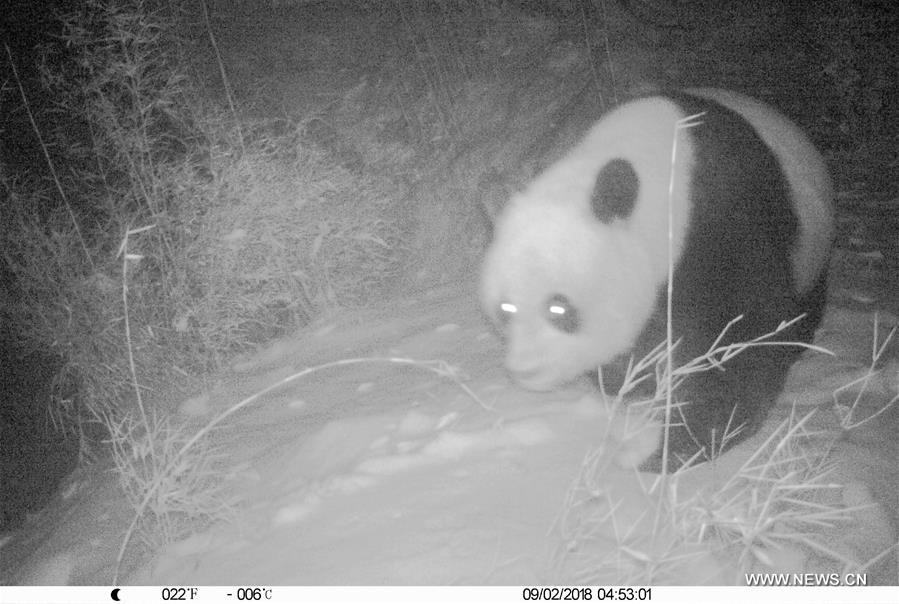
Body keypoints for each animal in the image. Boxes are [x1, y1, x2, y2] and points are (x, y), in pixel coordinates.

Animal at [482, 88, 832, 472]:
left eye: (558, 308)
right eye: (506, 308)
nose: (526, 369)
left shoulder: (725, 230)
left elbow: (740, 343)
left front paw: (664, 449)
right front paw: (630, 383)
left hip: (811, 255)